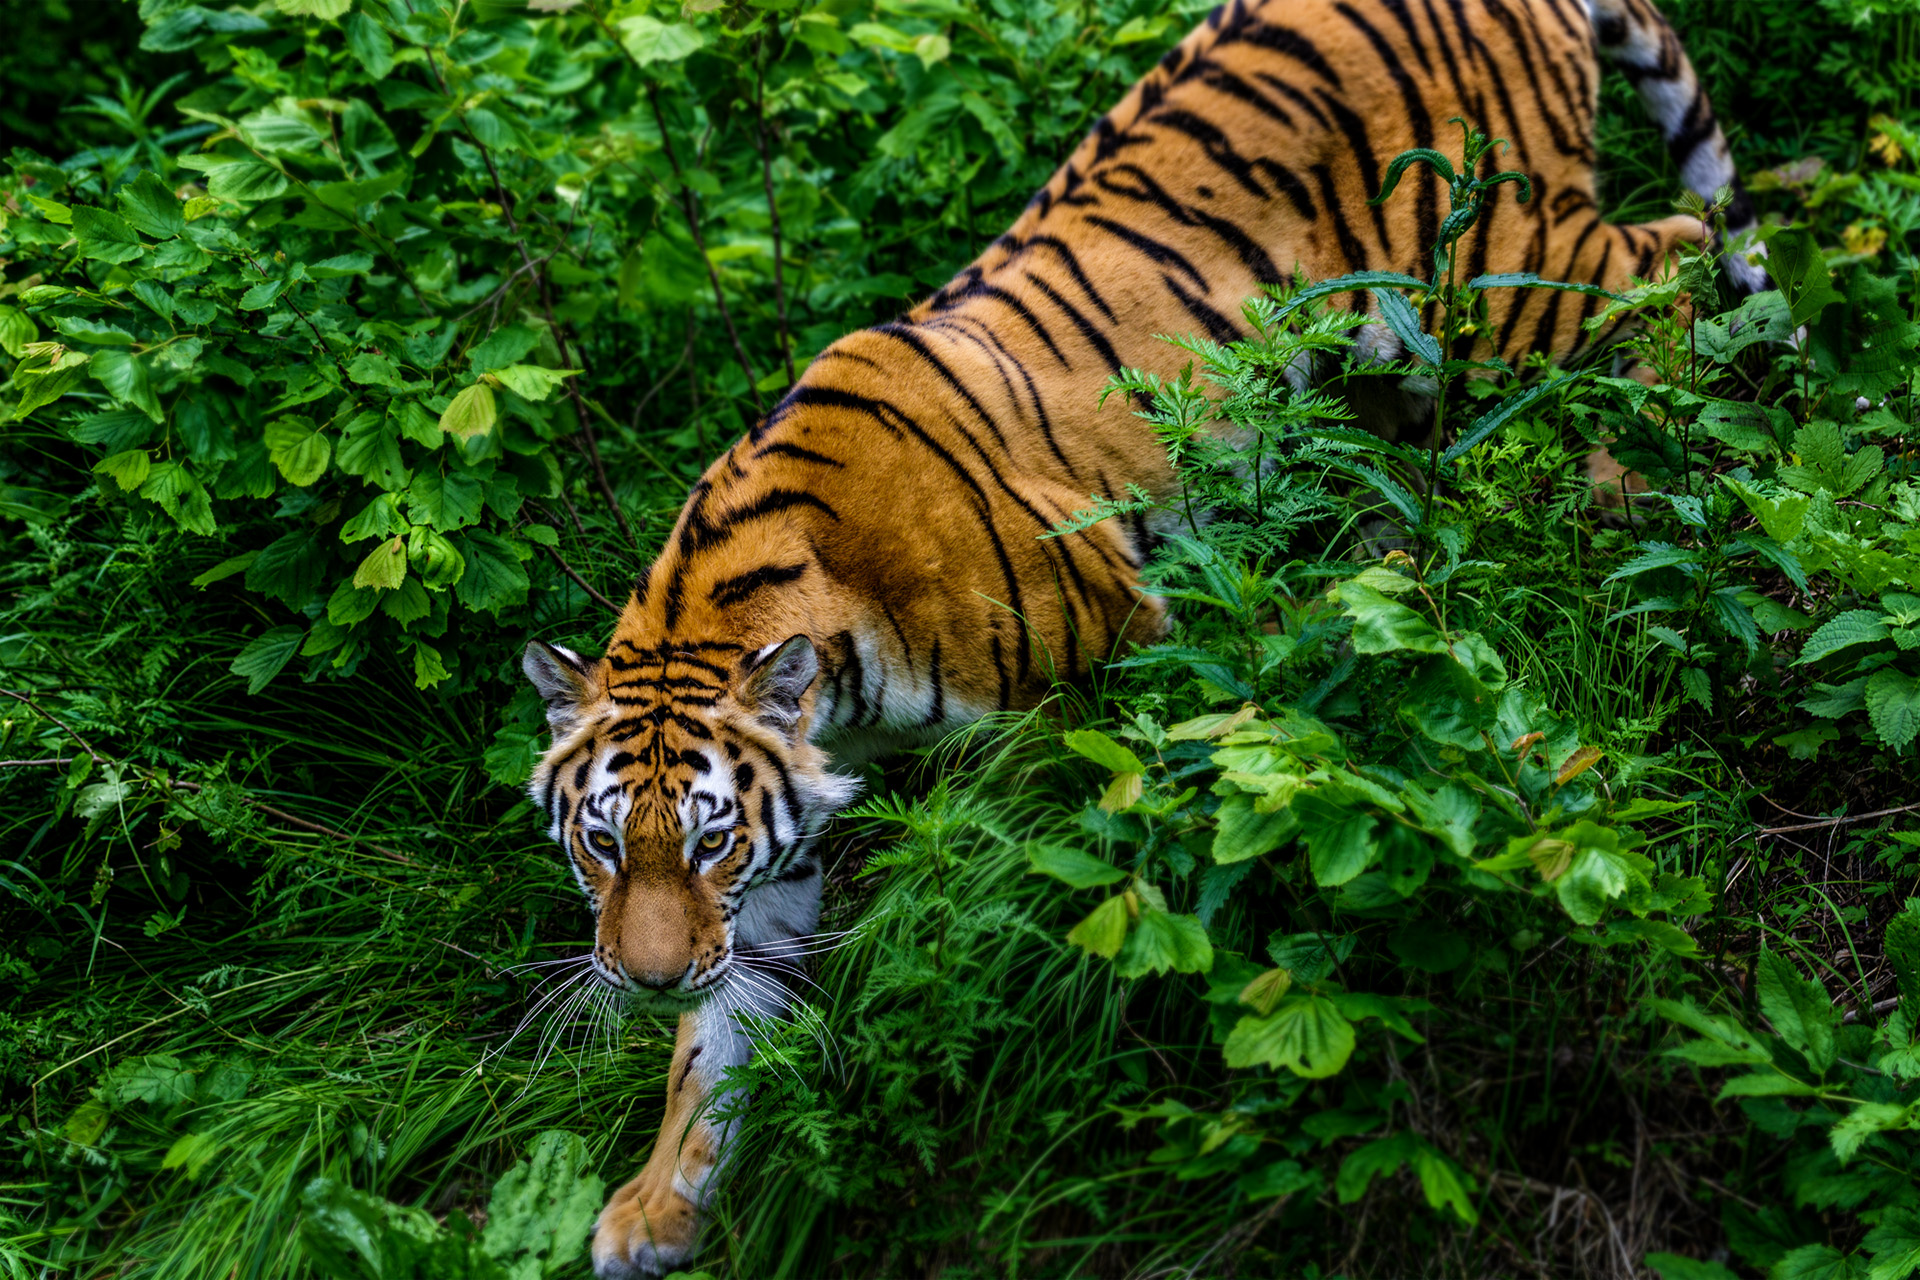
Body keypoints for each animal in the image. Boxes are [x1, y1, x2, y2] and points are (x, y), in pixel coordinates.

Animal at [522, 0, 1758, 1266]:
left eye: (711, 838)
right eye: (605, 842)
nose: (646, 977)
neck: (824, 672)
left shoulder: (1097, 664)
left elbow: (1088, 865)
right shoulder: (785, 850)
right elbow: (721, 1034)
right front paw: (659, 1201)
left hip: (1496, 263)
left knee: (1666, 257)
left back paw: (1632, 482)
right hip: (1395, 352)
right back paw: (1374, 583)